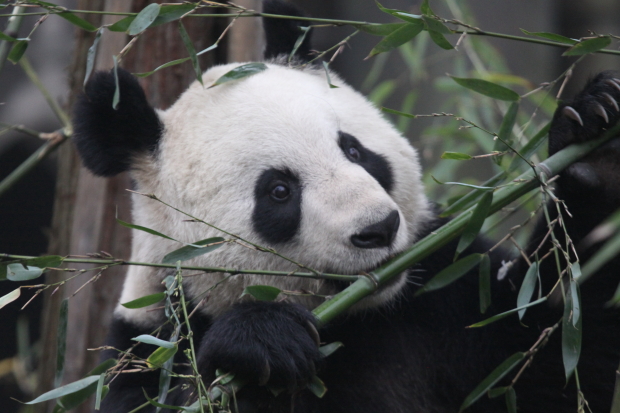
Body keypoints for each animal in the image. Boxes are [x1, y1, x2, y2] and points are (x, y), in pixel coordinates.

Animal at [70, 1, 620, 410]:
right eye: (279, 191)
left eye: (354, 150)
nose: (379, 228)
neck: (359, 321)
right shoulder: (152, 345)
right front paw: (262, 341)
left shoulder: (449, 291)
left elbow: (554, 349)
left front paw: (595, 140)